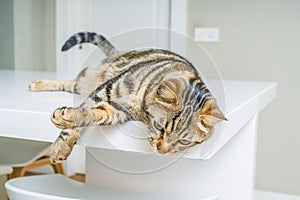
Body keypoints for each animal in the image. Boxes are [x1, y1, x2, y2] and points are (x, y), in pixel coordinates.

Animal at [29, 31, 226, 162]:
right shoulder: (106, 89)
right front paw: (61, 144)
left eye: (184, 141)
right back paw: (37, 84)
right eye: (159, 126)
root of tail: (119, 52)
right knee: (69, 82)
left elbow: (94, 114)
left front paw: (68, 122)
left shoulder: (119, 111)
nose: (161, 151)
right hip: (85, 80)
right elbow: (82, 111)